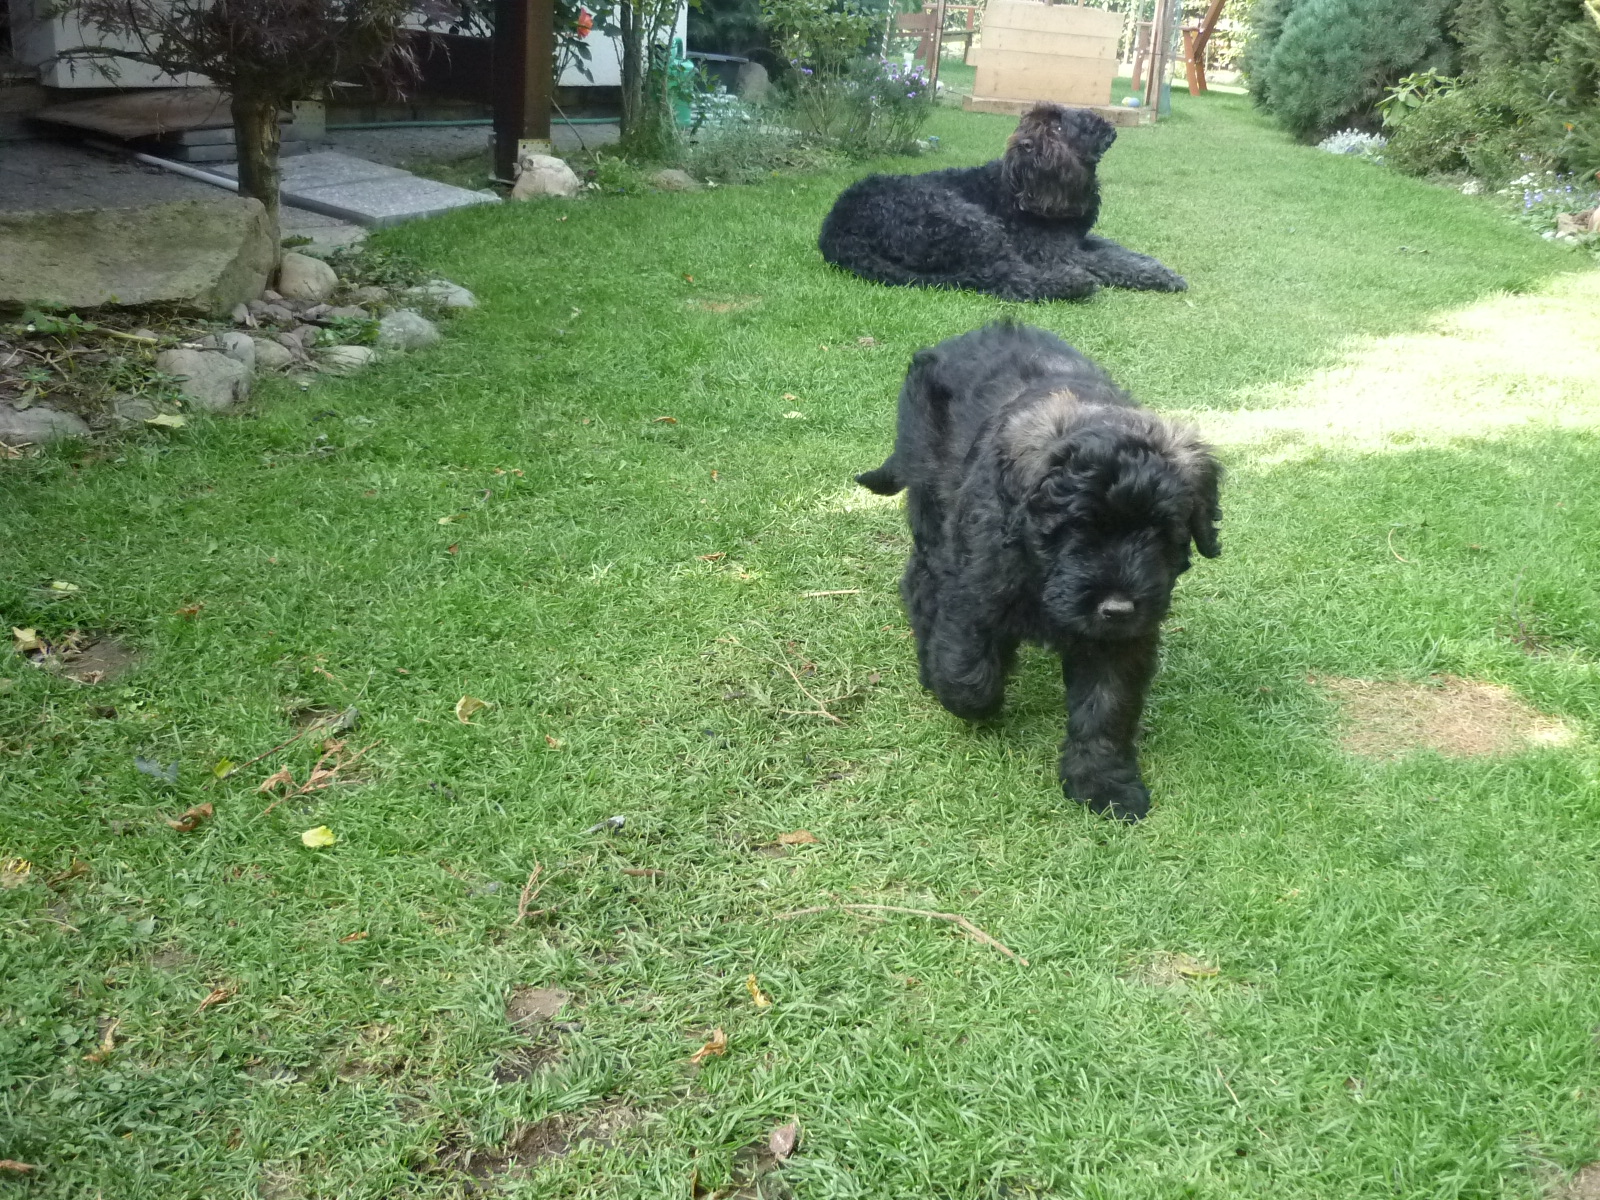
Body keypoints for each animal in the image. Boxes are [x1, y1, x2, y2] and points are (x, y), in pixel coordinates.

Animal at [818, 103, 1186, 302]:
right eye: (1028, 123)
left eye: (1057, 126)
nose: (1024, 144)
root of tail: (836, 229)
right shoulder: (1054, 250)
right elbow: (1110, 262)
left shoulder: (1078, 237)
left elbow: (1119, 251)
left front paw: (1159, 269)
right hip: (968, 222)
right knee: (1004, 275)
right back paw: (1070, 283)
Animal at [857, 322, 1220, 820]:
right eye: (1078, 527)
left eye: (1161, 532)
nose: (1117, 607)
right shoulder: (975, 595)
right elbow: (969, 678)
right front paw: (955, 685)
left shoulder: (1119, 640)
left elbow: (1107, 706)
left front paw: (1103, 782)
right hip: (931, 498)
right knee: (921, 577)